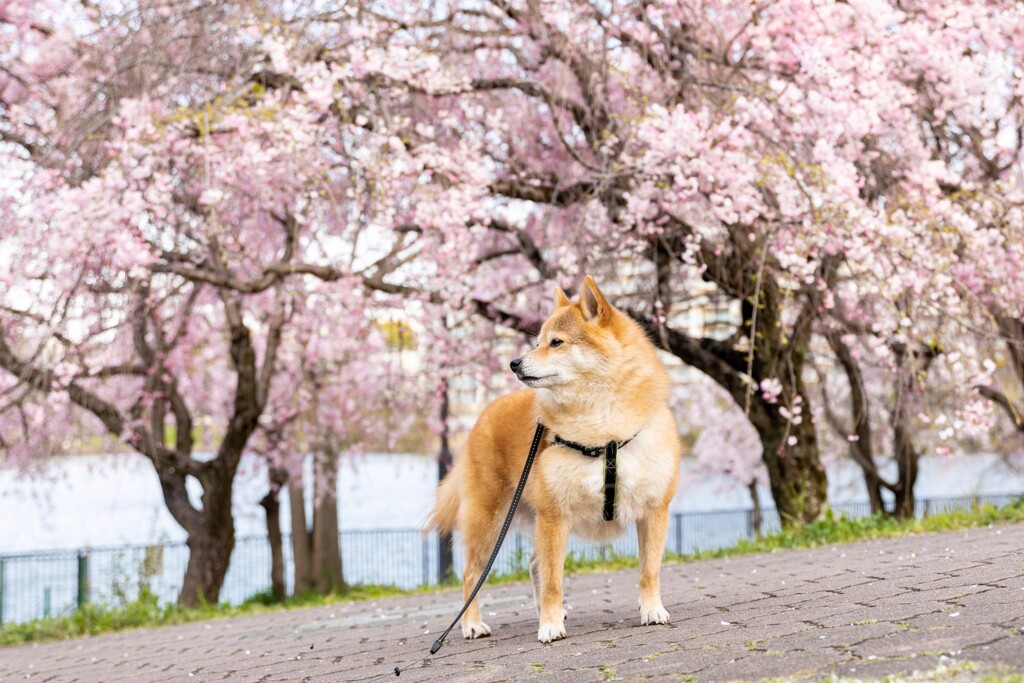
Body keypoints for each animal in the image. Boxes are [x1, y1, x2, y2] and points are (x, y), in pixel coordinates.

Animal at [423, 274, 679, 643]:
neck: (605, 431)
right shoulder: (554, 515)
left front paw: (652, 610)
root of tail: (482, 414)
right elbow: (553, 581)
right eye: (538, 342)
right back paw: (472, 624)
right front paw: (550, 625)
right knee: (473, 574)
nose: (514, 362)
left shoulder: (654, 509)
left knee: (533, 564)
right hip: (489, 519)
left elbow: (650, 570)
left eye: (555, 342)